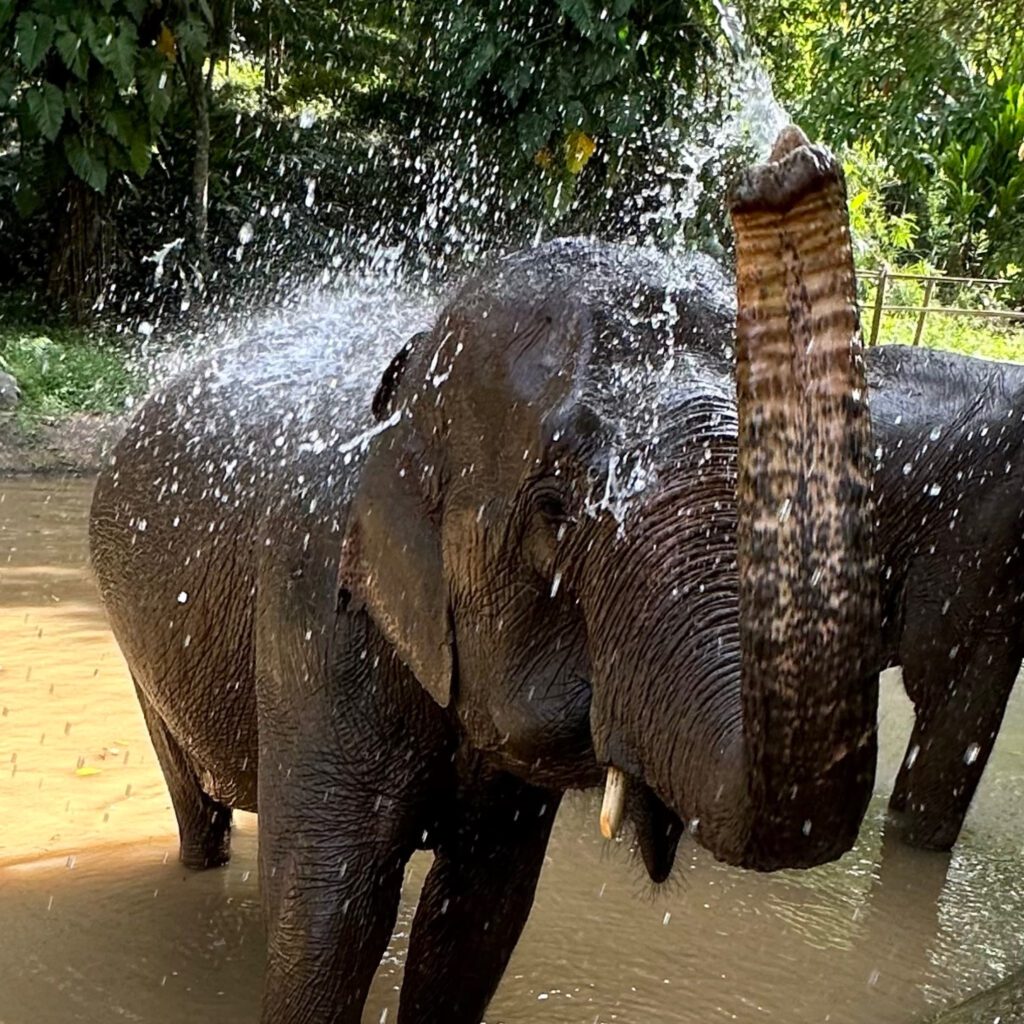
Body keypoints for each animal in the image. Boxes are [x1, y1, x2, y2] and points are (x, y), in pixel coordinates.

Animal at [88, 130, 880, 1024]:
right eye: (555, 509)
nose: (788, 159)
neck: (407, 385)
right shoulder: (311, 615)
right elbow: (330, 916)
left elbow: (479, 912)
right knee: (198, 808)